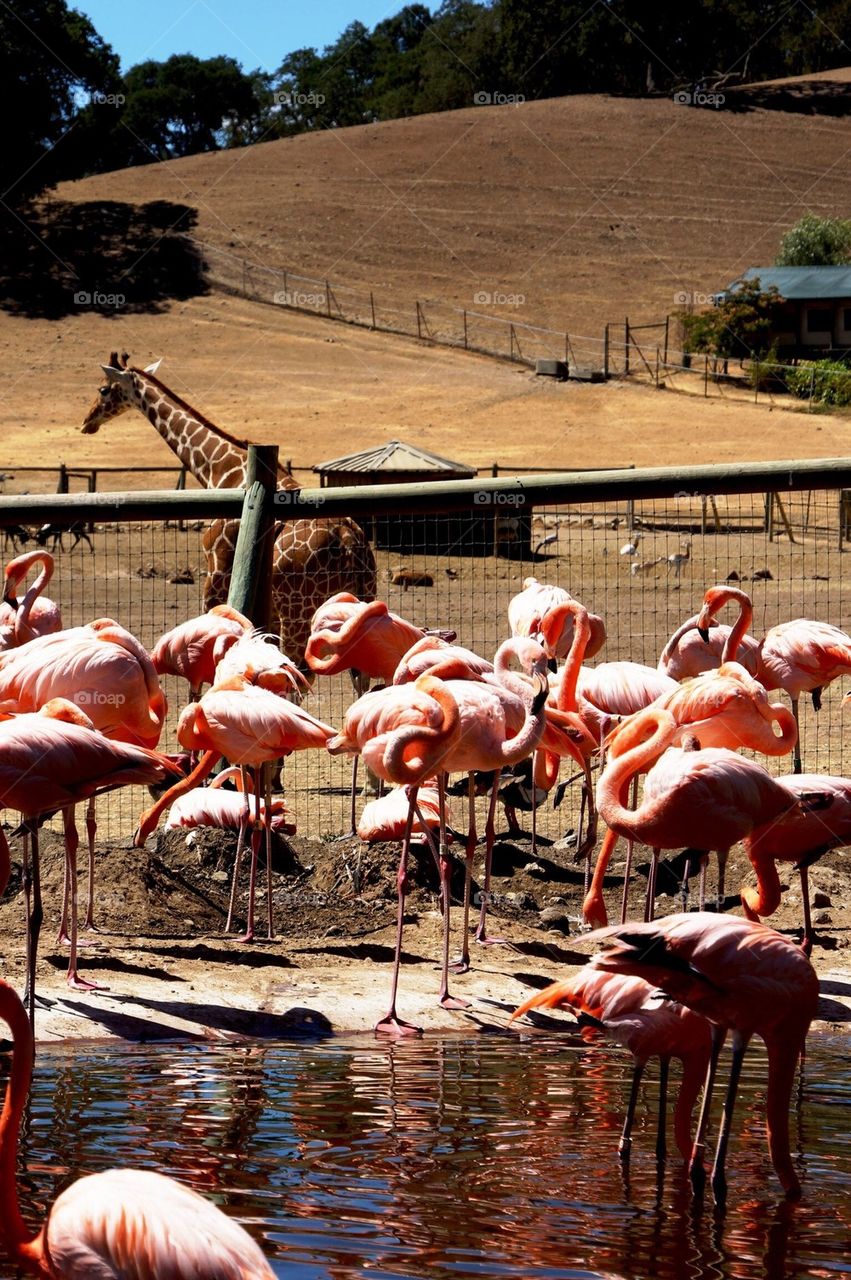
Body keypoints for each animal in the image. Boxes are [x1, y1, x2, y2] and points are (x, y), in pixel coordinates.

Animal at [82, 353, 377, 666]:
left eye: (103, 389)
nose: (87, 422)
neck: (223, 472)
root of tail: (348, 541)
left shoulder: (216, 573)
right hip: (359, 600)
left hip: (298, 611)